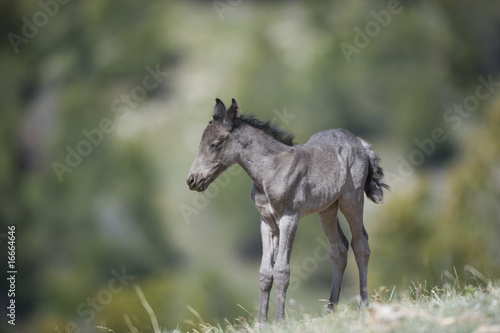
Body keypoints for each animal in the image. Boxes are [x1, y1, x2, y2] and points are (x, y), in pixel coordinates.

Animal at [188, 98, 390, 324]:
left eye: (215, 144)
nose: (193, 180)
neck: (270, 170)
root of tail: (360, 142)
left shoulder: (289, 217)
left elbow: (281, 270)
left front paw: (279, 321)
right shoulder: (266, 221)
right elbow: (265, 272)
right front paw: (261, 322)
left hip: (351, 199)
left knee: (360, 243)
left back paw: (364, 307)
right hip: (327, 208)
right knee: (339, 249)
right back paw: (330, 310)